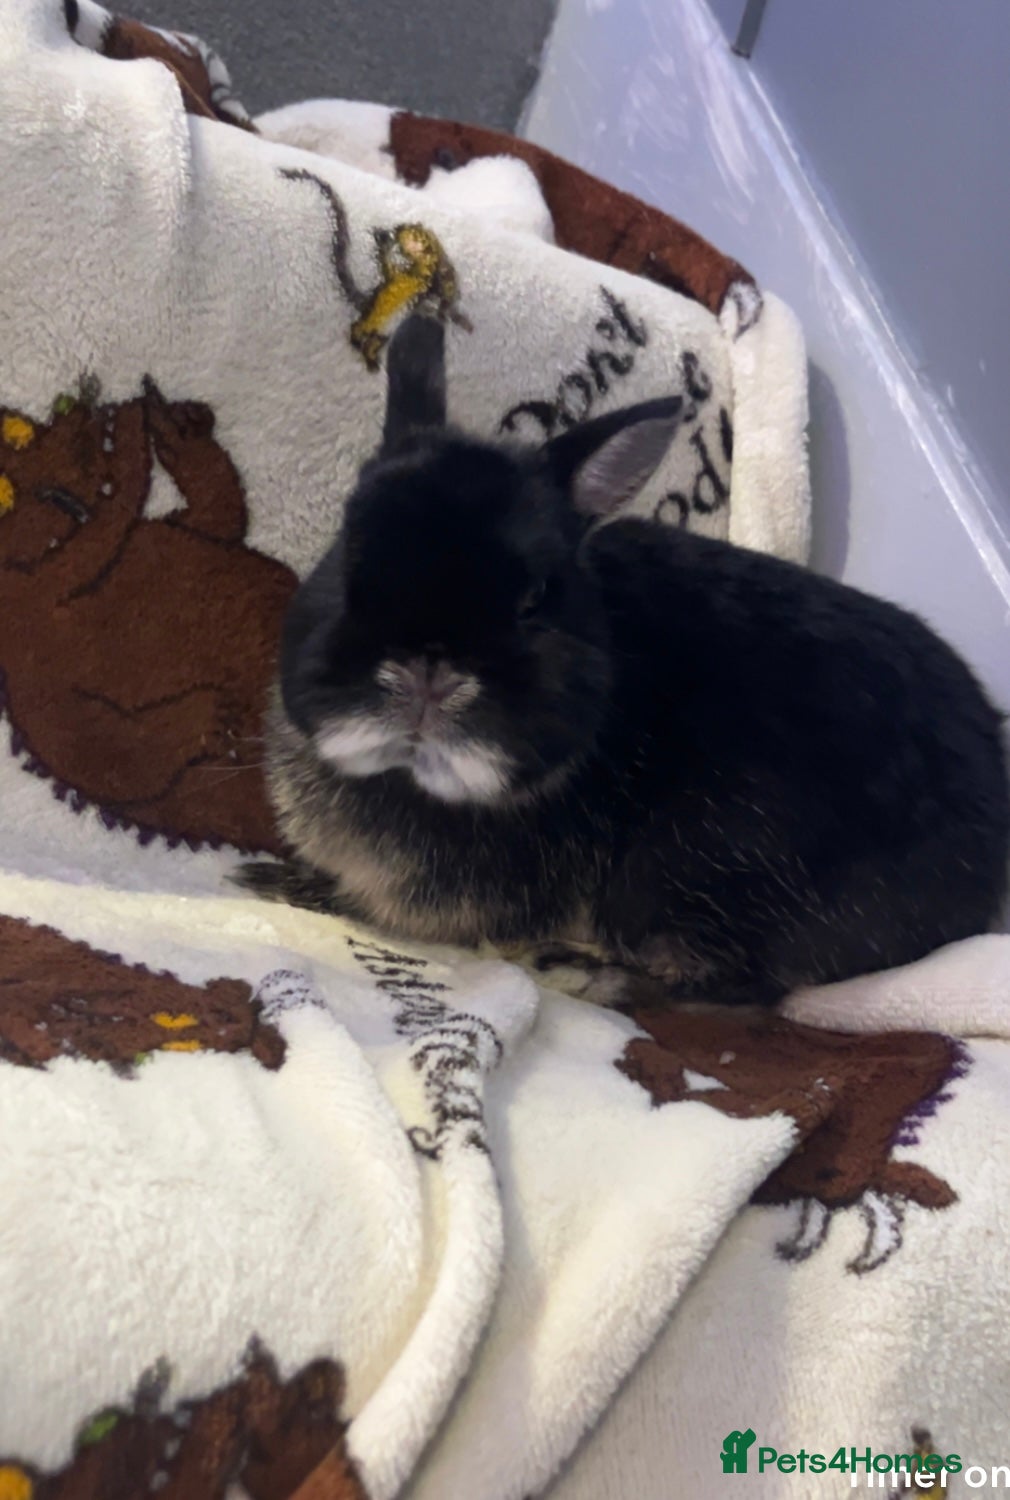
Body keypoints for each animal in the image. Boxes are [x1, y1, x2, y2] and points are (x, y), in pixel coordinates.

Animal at [237, 312, 1010, 1008]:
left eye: (535, 598)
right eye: (349, 554)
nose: (428, 670)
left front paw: (266, 883)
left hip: (694, 865)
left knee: (741, 987)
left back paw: (581, 975)